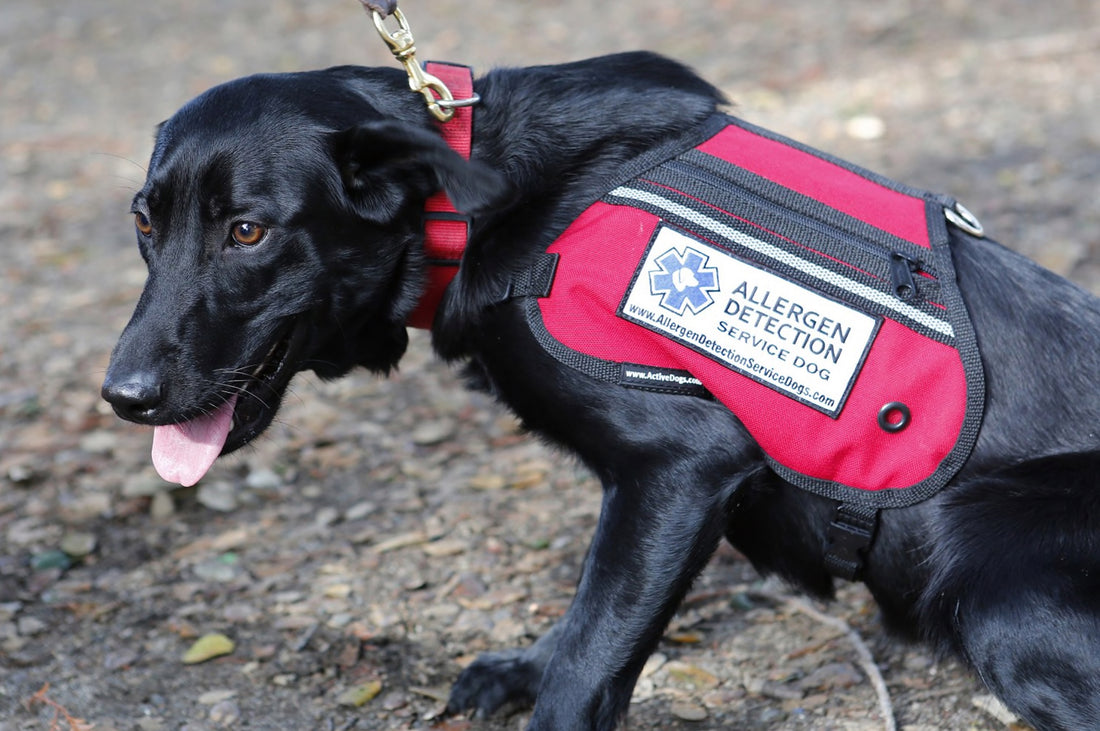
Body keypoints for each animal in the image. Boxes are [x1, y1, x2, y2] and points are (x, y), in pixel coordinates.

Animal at [101, 54, 1100, 725]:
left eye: (248, 230)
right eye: (145, 222)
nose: (123, 395)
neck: (474, 203)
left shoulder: (685, 466)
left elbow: (593, 653)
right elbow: (589, 610)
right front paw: (527, 665)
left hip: (992, 578)